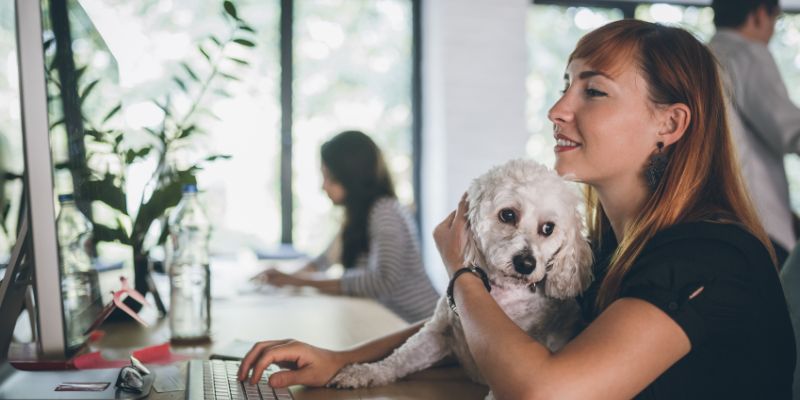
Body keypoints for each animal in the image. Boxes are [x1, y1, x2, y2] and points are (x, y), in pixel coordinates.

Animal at [324, 159, 592, 396]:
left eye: (548, 228)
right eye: (507, 215)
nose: (526, 264)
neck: (499, 293)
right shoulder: (438, 333)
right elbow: (400, 357)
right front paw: (366, 372)